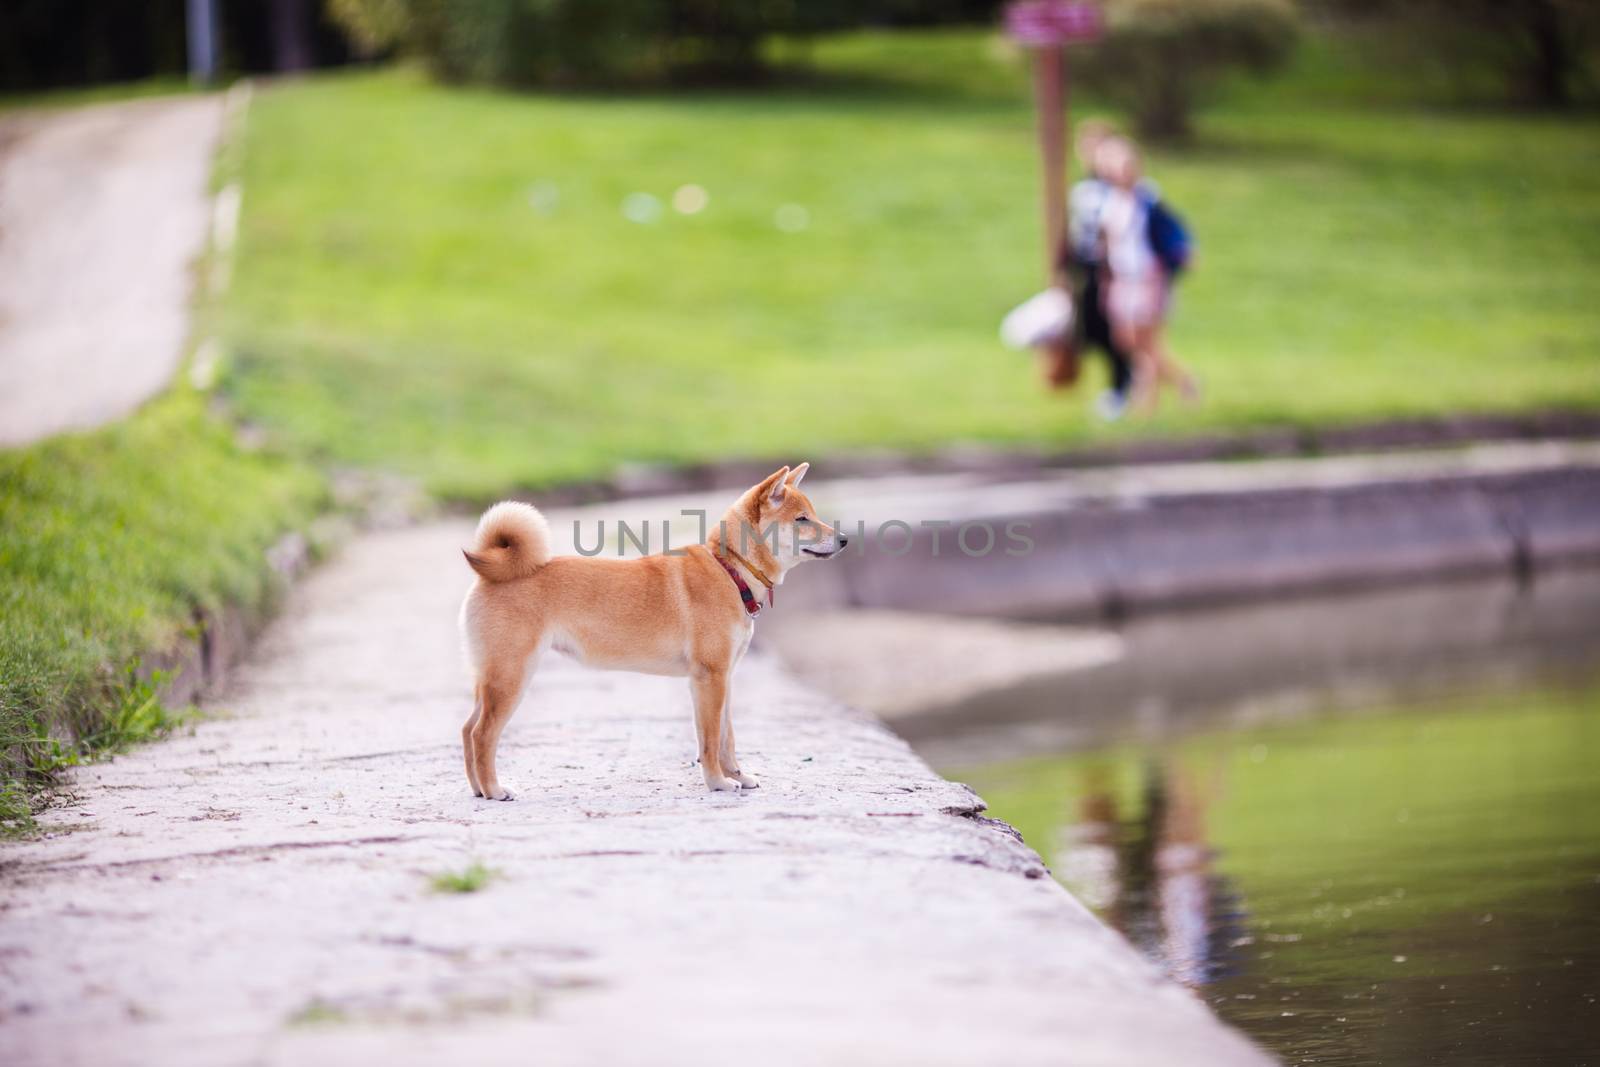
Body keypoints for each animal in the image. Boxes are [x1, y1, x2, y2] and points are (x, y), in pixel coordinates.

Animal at [457, 463, 844, 796]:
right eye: (802, 519)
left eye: (813, 515)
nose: (844, 540)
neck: (730, 569)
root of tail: (489, 574)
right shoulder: (709, 678)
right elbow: (709, 740)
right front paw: (717, 782)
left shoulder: (723, 678)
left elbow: (726, 738)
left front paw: (738, 775)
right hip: (511, 677)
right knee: (482, 734)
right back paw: (494, 790)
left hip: (490, 679)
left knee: (466, 729)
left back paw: (478, 789)